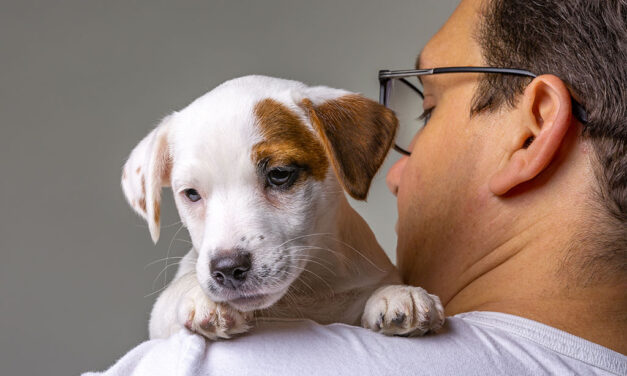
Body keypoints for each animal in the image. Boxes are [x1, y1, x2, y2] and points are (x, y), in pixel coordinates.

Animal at [121, 75, 446, 340]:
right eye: (191, 194)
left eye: (279, 174)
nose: (227, 269)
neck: (303, 294)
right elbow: (172, 296)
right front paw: (202, 298)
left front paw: (399, 293)